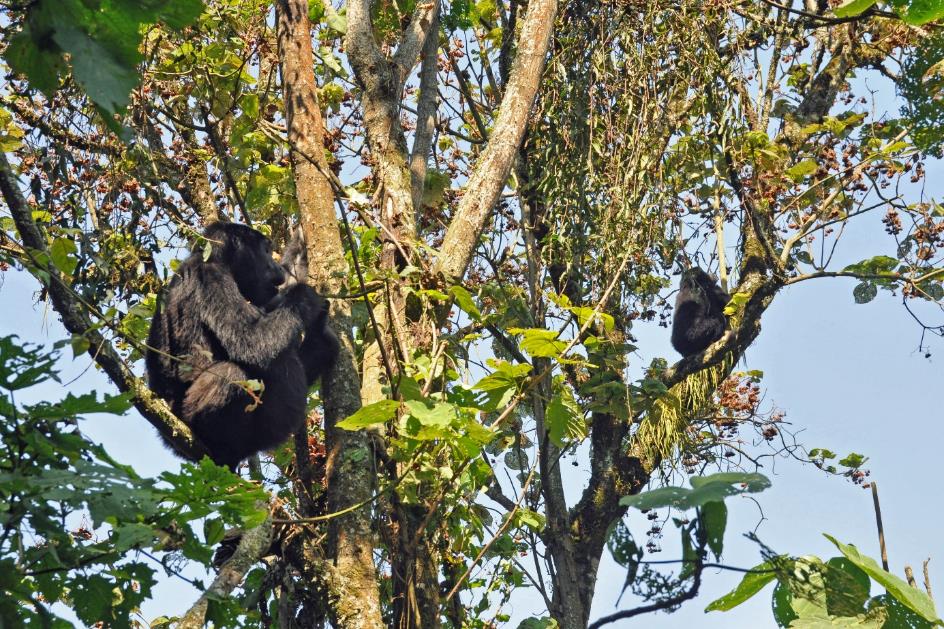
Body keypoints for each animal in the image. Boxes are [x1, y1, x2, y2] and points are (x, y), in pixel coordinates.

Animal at [146, 223, 338, 468]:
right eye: (265, 251)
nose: (276, 265)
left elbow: (280, 294)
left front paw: (300, 241)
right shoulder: (211, 278)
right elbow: (251, 340)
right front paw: (304, 296)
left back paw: (319, 340)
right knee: (233, 374)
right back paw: (222, 446)